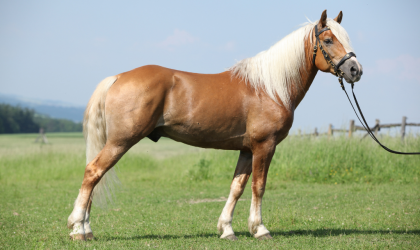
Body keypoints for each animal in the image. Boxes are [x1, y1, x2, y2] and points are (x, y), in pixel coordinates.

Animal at [67, 10, 362, 241]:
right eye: (328, 39)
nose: (355, 71)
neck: (269, 88)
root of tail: (117, 77)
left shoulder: (246, 149)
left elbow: (237, 187)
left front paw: (227, 229)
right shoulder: (264, 146)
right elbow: (259, 186)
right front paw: (260, 229)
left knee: (95, 176)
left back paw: (85, 228)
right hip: (121, 141)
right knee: (93, 172)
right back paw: (78, 228)